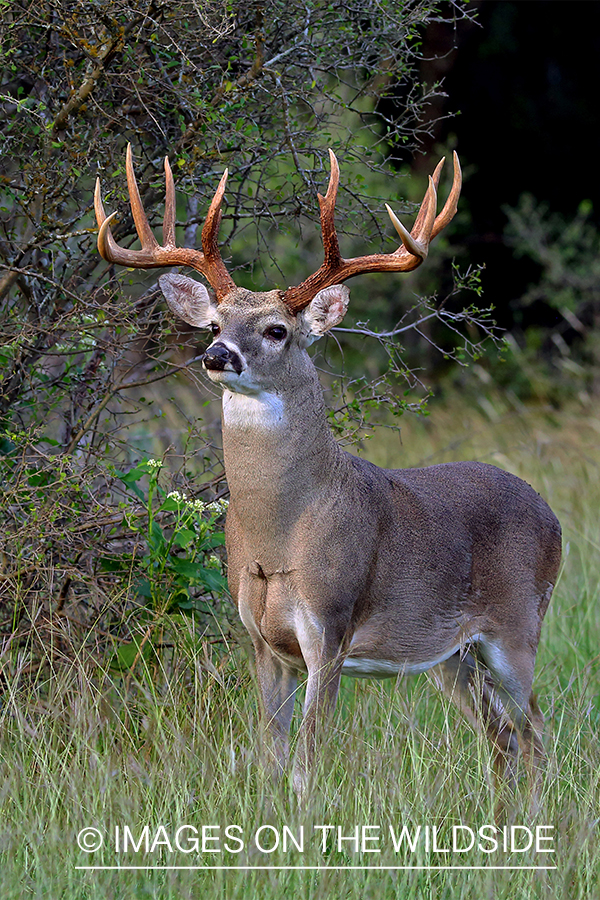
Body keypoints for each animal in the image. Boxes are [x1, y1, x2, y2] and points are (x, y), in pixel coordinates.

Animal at [94, 146, 564, 800]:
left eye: (277, 330)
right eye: (214, 325)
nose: (217, 355)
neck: (279, 535)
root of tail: (551, 514)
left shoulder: (331, 628)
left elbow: (305, 763)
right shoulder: (261, 640)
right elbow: (270, 756)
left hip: (518, 625)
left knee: (536, 728)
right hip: (449, 654)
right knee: (501, 737)